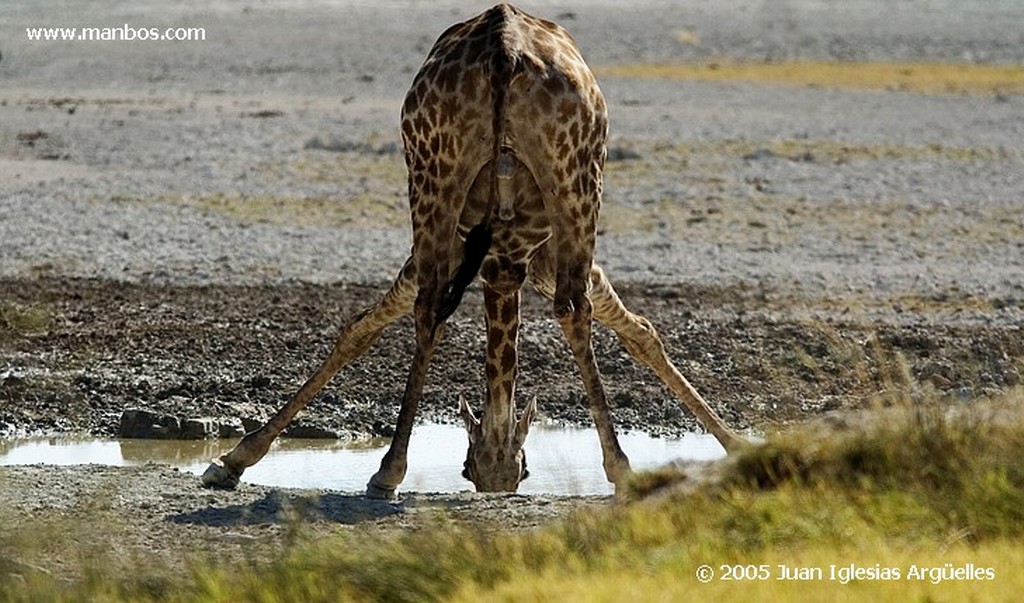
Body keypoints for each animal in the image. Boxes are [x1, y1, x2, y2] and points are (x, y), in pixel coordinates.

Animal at [201, 2, 745, 495]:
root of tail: (505, 50)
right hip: (566, 181)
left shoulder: (521, 257)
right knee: (561, 307)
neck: (505, 264)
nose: (497, 477)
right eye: (471, 471)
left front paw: (737, 444)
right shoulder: (527, 258)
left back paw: (389, 471)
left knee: (443, 306)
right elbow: (360, 328)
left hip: (449, 177)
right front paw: (234, 458)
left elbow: (640, 331)